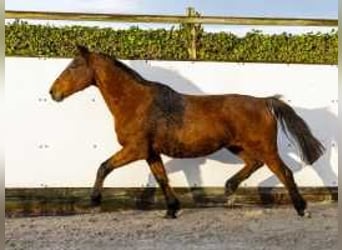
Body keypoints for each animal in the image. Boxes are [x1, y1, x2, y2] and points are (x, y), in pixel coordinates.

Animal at [48, 46, 324, 218]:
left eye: (73, 66)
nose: (53, 92)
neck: (136, 102)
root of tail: (264, 101)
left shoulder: (135, 149)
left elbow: (104, 166)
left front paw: (94, 200)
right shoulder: (150, 152)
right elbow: (161, 178)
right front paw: (172, 209)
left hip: (264, 147)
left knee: (284, 172)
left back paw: (302, 209)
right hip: (238, 146)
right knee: (255, 164)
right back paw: (229, 188)